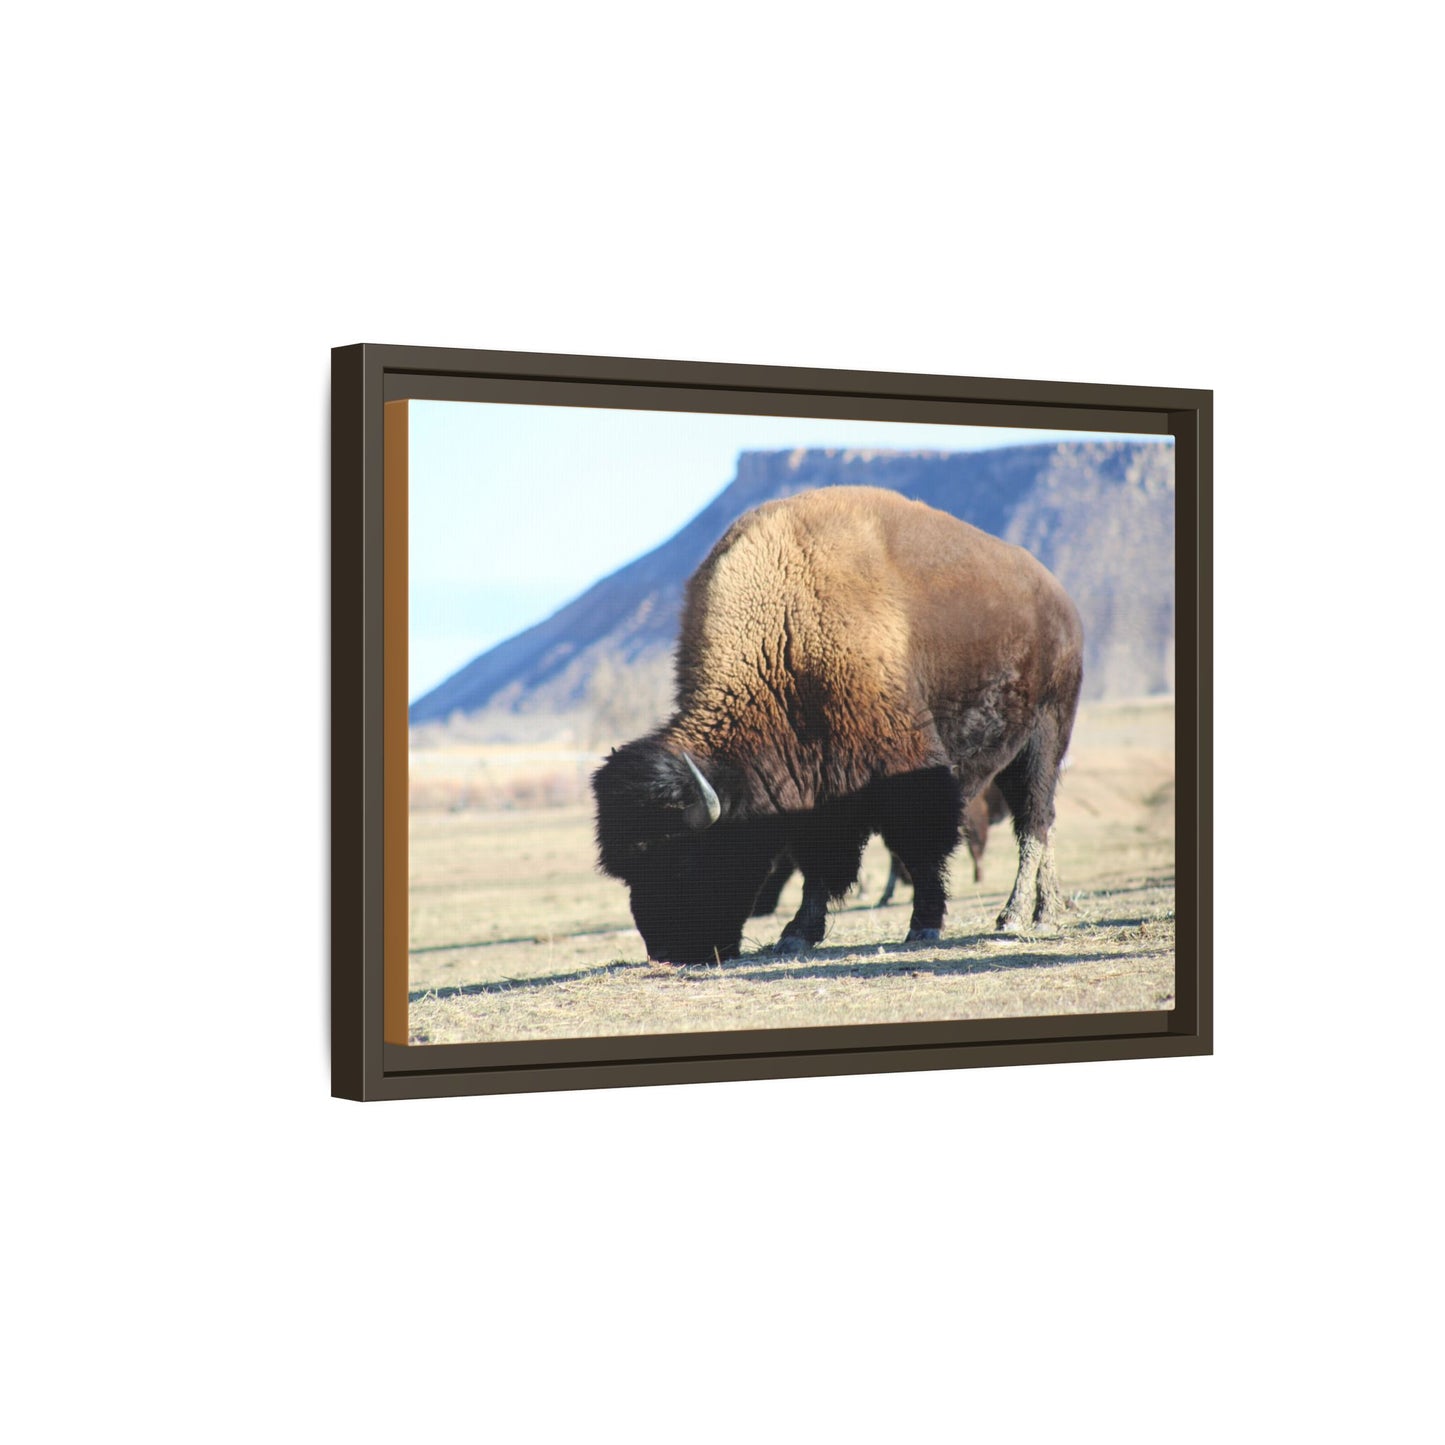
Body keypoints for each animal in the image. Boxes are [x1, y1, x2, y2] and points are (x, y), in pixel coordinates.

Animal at [592, 486, 1083, 963]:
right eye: (627, 870)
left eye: (682, 858)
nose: (667, 953)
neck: (785, 634)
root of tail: (1059, 599)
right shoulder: (816, 789)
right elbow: (820, 863)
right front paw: (796, 935)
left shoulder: (905, 769)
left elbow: (920, 847)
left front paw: (923, 925)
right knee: (1042, 822)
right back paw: (1046, 910)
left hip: (1044, 737)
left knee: (1034, 821)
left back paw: (1019, 916)